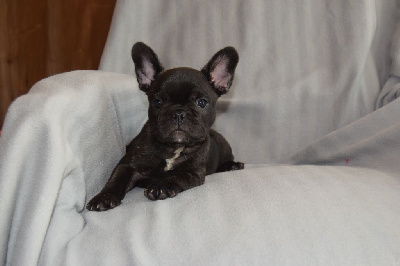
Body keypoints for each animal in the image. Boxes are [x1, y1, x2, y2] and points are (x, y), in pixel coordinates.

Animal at [86, 42, 244, 212]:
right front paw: (104, 197)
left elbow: (175, 175)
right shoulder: (128, 164)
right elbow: (117, 178)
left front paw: (160, 186)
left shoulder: (192, 172)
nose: (179, 113)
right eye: (158, 102)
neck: (173, 147)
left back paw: (233, 165)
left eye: (201, 102)